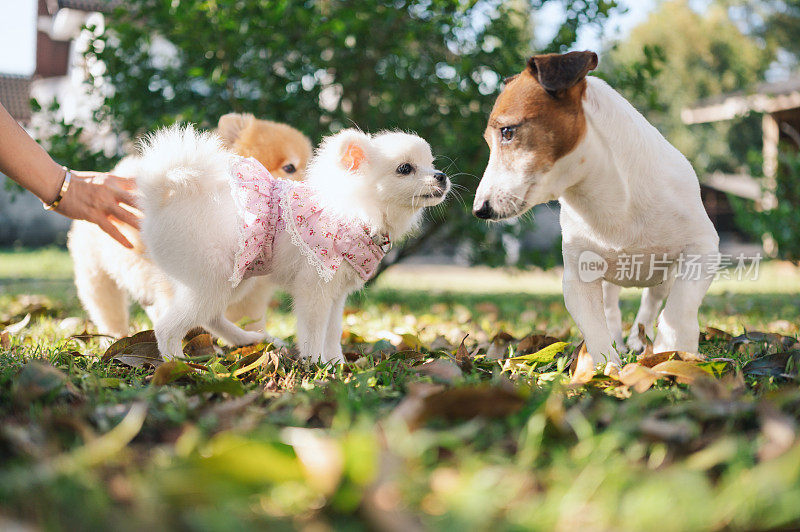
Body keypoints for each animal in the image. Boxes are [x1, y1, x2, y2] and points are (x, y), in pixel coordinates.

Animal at [138, 127, 450, 364]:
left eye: (431, 163)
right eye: (405, 169)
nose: (441, 176)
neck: (355, 211)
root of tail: (162, 199)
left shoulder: (336, 294)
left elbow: (333, 332)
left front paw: (336, 363)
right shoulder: (314, 290)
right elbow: (313, 332)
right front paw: (316, 364)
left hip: (235, 279)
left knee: (211, 318)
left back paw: (249, 339)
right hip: (214, 280)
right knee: (167, 327)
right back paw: (179, 365)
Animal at [476, 51, 720, 366]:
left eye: (507, 132)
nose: (479, 209)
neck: (608, 197)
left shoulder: (703, 248)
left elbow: (680, 305)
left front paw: (673, 349)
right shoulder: (580, 276)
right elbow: (596, 330)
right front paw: (608, 369)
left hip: (662, 276)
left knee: (652, 301)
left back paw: (638, 339)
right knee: (612, 308)